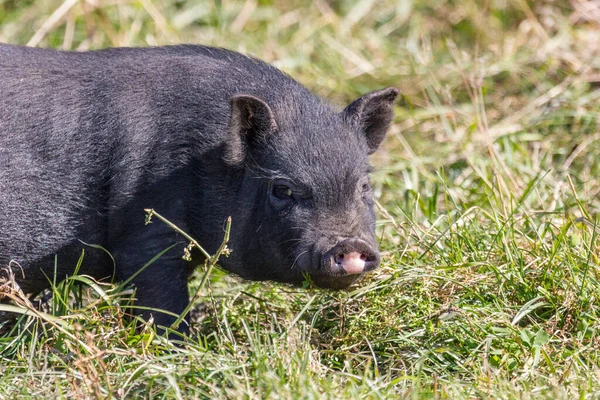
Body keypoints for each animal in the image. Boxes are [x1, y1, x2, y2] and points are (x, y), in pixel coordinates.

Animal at [2, 43, 400, 332]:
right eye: (283, 190)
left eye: (364, 184)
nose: (350, 245)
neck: (203, 161)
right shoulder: (147, 232)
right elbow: (160, 299)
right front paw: (177, 346)